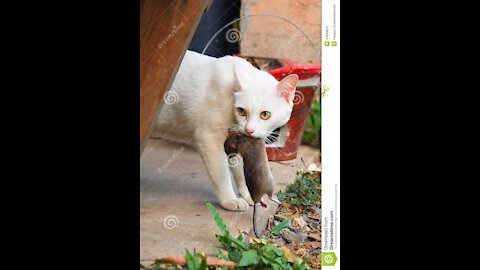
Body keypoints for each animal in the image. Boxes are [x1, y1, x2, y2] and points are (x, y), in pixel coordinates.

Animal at [153, 50, 296, 211]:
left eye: (265, 114)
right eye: (241, 111)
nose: (249, 130)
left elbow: (240, 171)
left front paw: (249, 195)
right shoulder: (209, 138)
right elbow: (222, 175)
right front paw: (230, 200)